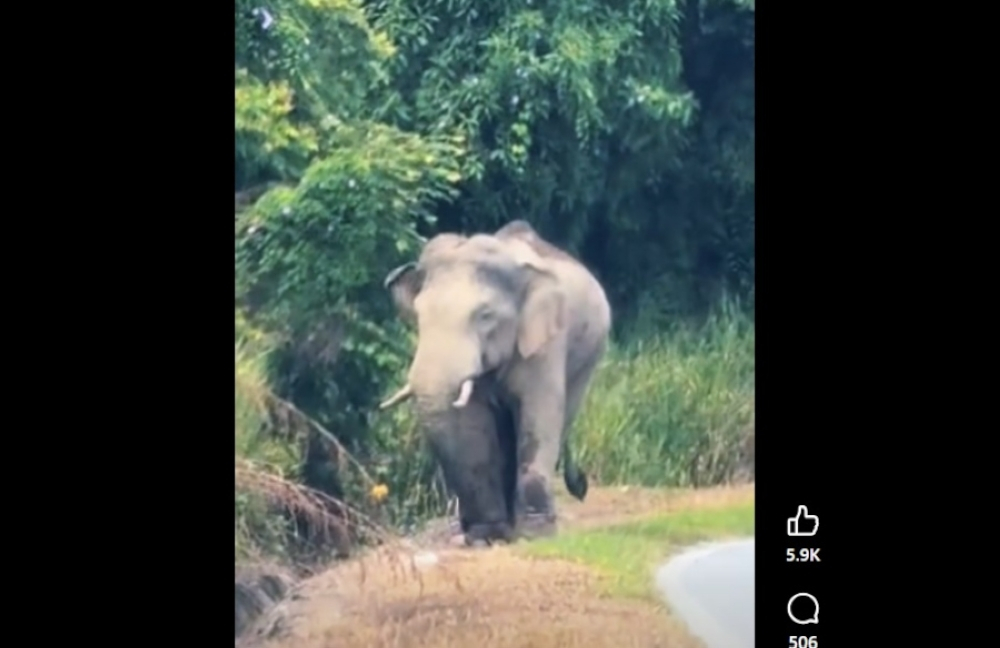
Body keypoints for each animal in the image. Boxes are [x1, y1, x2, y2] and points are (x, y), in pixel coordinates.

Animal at [379, 220, 612, 545]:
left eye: (485, 316)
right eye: (419, 316)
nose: (582, 486)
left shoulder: (545, 342)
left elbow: (538, 416)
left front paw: (536, 533)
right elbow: (472, 422)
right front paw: (486, 536)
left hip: (589, 356)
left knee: (561, 417)